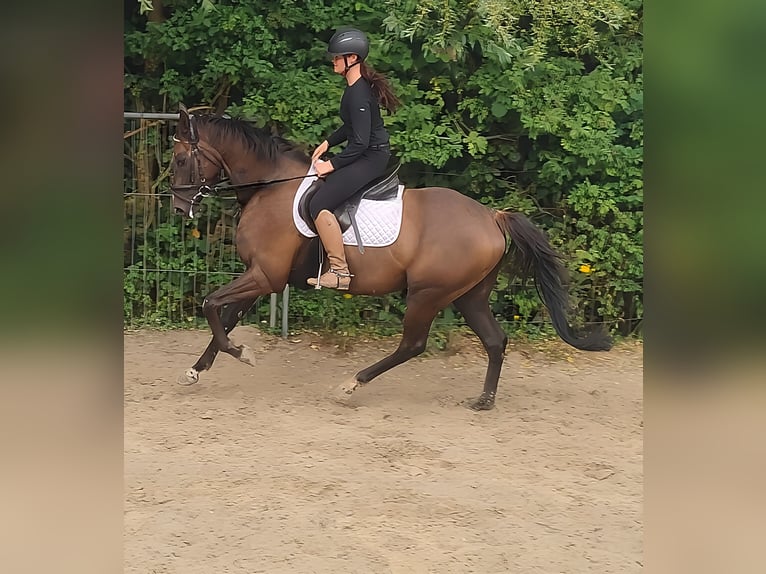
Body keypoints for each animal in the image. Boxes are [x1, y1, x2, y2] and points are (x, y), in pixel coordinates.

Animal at [168, 104, 612, 410]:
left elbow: (210, 305)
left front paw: (240, 354)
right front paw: (197, 369)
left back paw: (351, 385)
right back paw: (483, 401)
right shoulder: (261, 277)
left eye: (179, 159)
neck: (271, 187)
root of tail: (492, 216)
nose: (177, 208)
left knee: (413, 345)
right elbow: (225, 316)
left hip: (428, 294)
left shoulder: (265, 275)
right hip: (469, 295)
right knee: (494, 340)